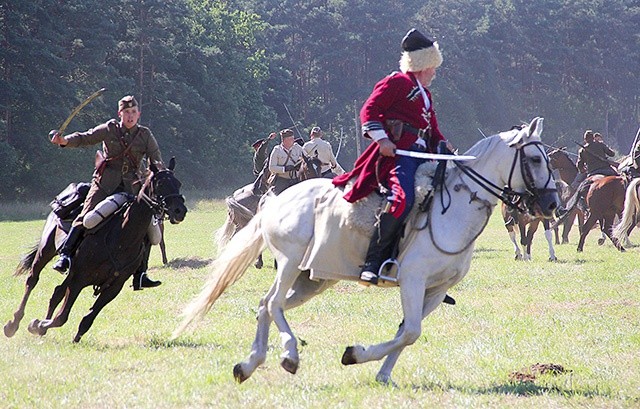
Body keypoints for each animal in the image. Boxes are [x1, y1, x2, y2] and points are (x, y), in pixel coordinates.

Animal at [3, 158, 188, 340]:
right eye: (160, 183)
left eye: (178, 183)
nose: (180, 211)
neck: (122, 238)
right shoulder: (78, 279)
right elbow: (61, 317)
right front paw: (36, 324)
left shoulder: (113, 287)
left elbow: (87, 319)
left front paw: (64, 334)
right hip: (46, 251)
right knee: (32, 280)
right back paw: (13, 324)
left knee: (57, 293)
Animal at [172, 116, 556, 384]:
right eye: (536, 159)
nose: (552, 203)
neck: (454, 209)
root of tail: (277, 200)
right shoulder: (412, 281)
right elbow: (411, 331)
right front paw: (355, 355)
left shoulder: (435, 290)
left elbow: (406, 333)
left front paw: (382, 374)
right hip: (291, 263)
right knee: (275, 303)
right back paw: (289, 354)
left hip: (312, 279)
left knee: (265, 305)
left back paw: (249, 364)